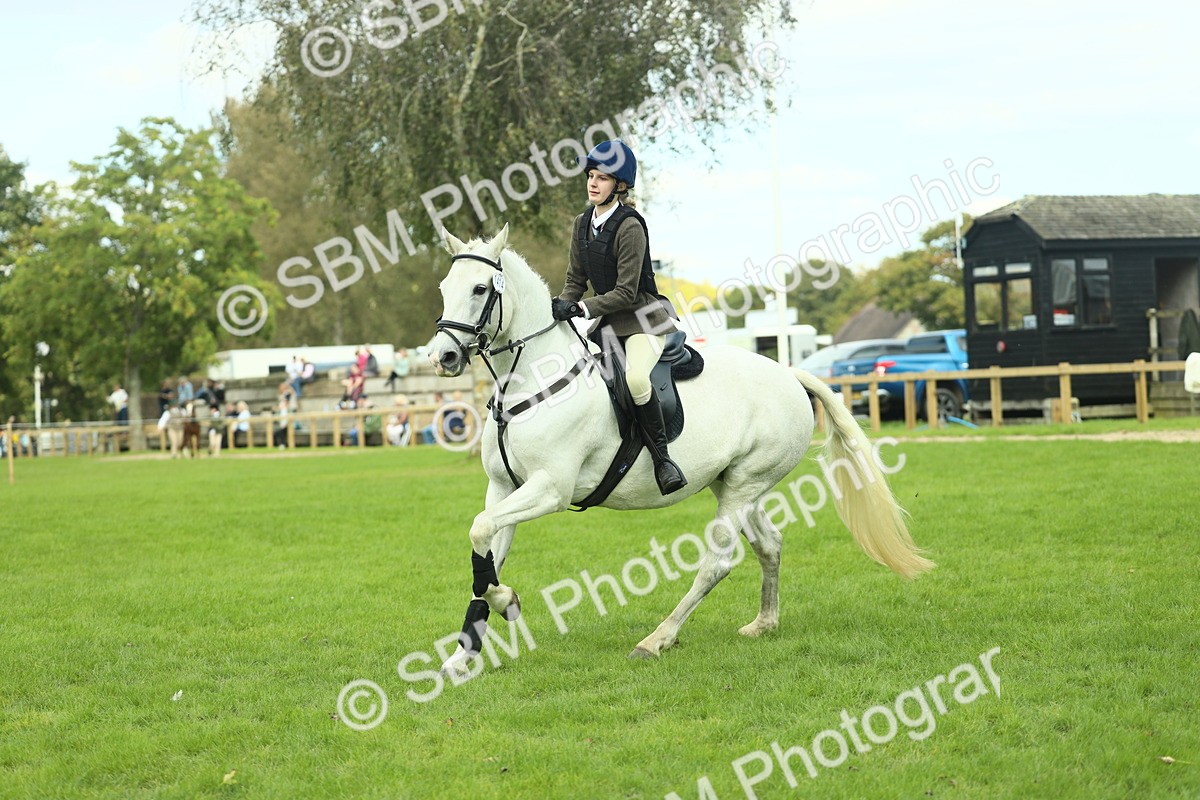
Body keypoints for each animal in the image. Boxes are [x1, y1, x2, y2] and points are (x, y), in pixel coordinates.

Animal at [429, 224, 934, 675]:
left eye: (479, 288)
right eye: (443, 288)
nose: (442, 358)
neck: (533, 381)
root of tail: (789, 374)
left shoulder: (550, 489)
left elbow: (481, 534)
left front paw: (506, 603)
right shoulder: (503, 489)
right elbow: (484, 556)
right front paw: (462, 654)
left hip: (744, 484)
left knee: (716, 564)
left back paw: (657, 639)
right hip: (733, 484)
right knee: (769, 545)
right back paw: (764, 623)